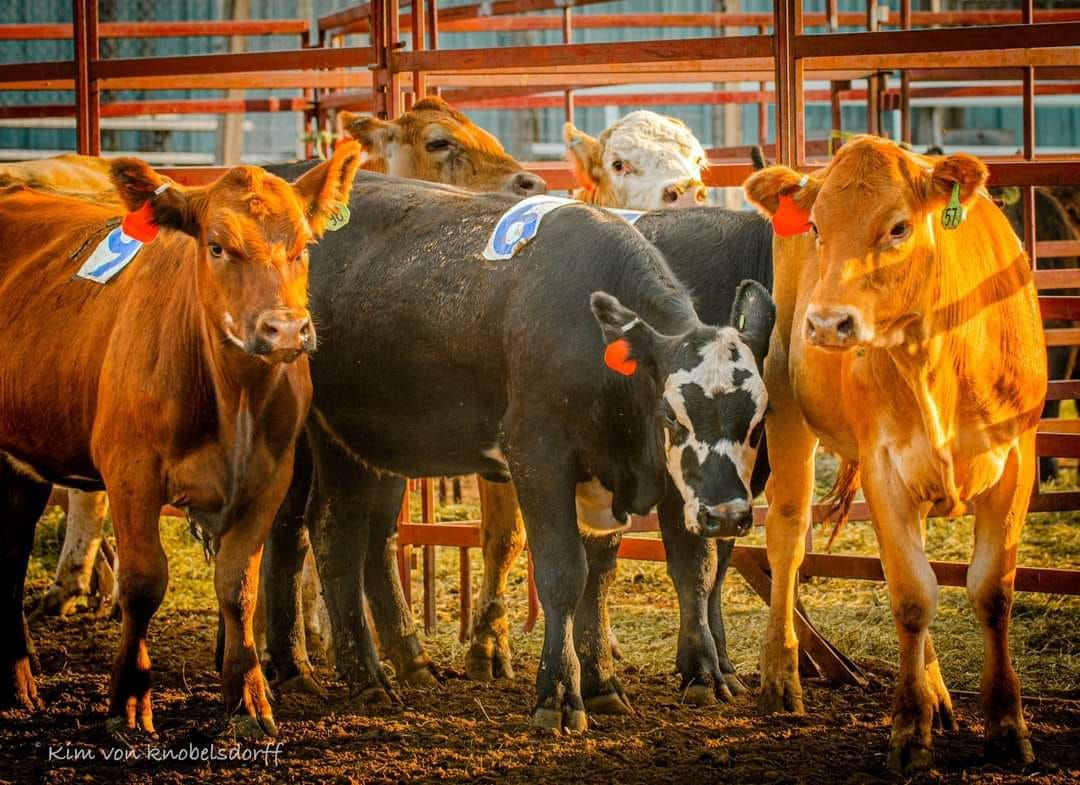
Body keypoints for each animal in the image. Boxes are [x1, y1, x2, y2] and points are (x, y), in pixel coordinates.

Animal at [0, 144, 362, 738]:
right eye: (216, 246)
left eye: (304, 246)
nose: (286, 330)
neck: (233, 395)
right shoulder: (131, 472)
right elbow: (143, 583)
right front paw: (128, 700)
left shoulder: (269, 481)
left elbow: (238, 586)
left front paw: (248, 700)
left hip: (22, 464)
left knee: (10, 554)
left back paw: (17, 679)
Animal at [255, 168, 773, 734]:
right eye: (672, 415)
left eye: (756, 419)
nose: (729, 515)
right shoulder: (538, 455)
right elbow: (565, 573)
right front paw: (559, 693)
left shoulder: (649, 478)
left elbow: (672, 571)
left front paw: (674, 678)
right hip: (327, 437)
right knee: (332, 534)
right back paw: (363, 678)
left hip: (377, 445)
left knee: (347, 535)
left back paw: (369, 664)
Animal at [743, 136, 1045, 773]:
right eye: (816, 225)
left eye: (899, 227)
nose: (827, 323)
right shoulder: (884, 469)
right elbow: (910, 596)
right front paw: (909, 729)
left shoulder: (1017, 464)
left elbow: (991, 592)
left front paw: (1007, 727)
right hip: (786, 406)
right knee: (787, 537)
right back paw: (781, 675)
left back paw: (939, 694)